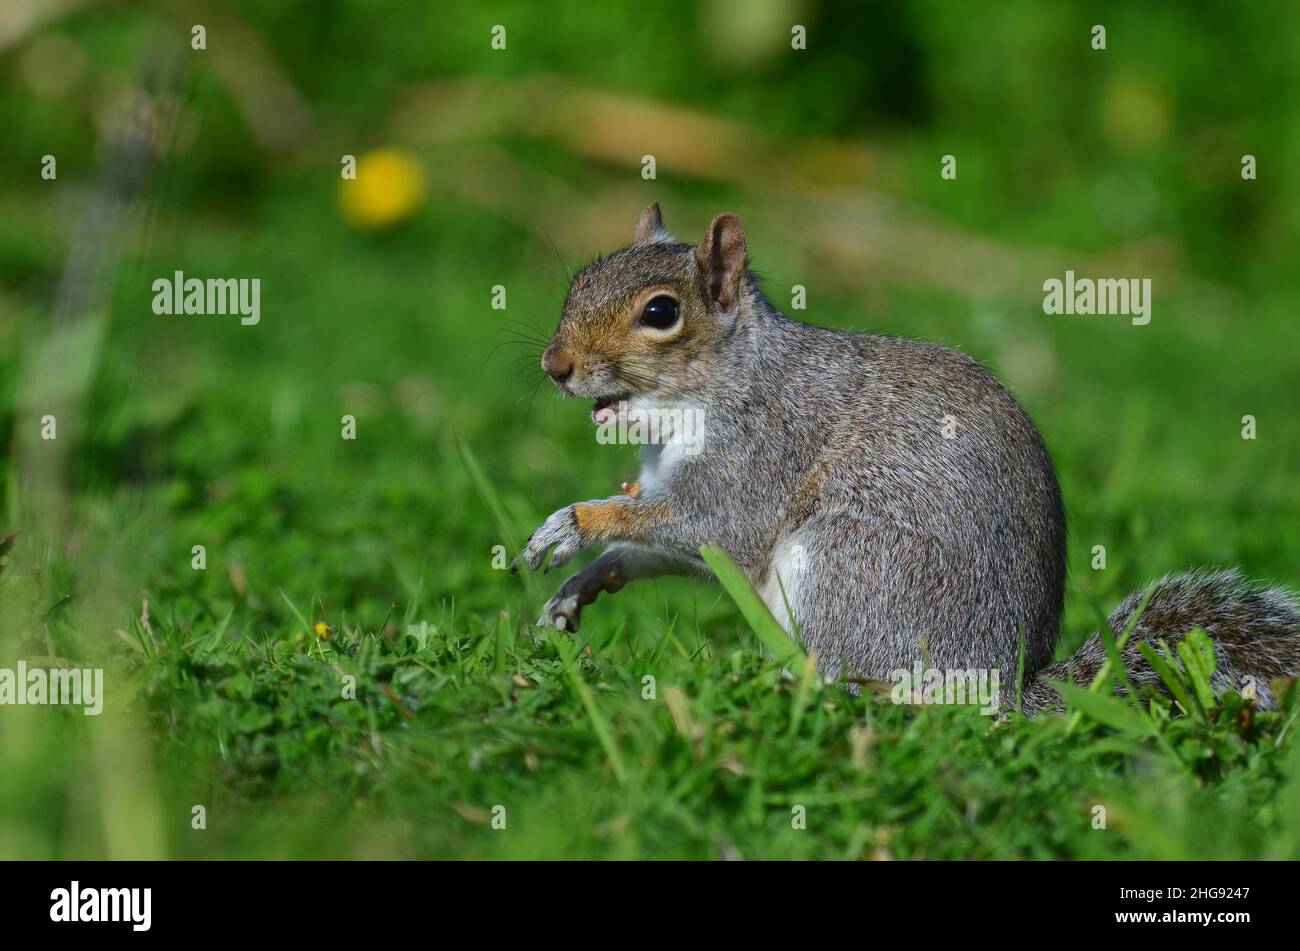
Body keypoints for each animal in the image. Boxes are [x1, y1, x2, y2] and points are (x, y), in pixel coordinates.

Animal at [512, 206, 1294, 711]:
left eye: (661, 313)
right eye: (581, 280)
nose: (554, 365)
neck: (722, 381)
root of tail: (1006, 681)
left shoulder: (758, 454)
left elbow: (708, 527)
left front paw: (571, 523)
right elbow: (659, 547)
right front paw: (583, 584)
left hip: (846, 570)